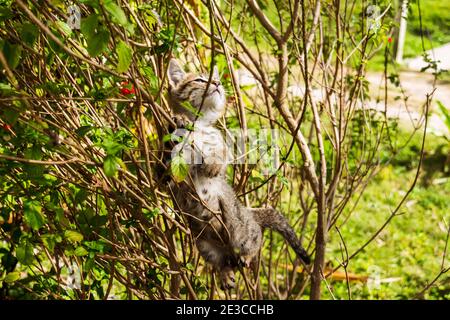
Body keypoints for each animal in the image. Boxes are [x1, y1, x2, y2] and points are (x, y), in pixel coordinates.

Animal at [167, 58, 312, 288]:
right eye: (200, 79)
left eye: (215, 78)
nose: (217, 83)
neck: (200, 124)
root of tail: (248, 212)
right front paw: (180, 118)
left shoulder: (219, 143)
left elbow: (220, 152)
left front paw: (212, 164)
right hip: (204, 246)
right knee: (224, 260)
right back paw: (226, 274)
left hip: (239, 230)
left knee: (256, 237)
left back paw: (247, 255)